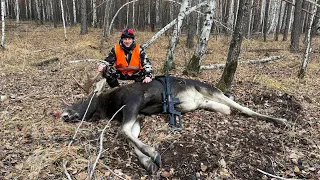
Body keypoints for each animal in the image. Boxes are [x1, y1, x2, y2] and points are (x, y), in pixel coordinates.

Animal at [61, 75, 286, 173]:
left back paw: (280, 120)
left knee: (243, 108)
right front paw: (149, 162)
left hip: (210, 90)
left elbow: (123, 131)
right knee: (227, 109)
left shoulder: (133, 103)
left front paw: (153, 153)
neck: (109, 105)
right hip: (200, 104)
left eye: (83, 99)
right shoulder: (138, 115)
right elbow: (129, 137)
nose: (63, 114)